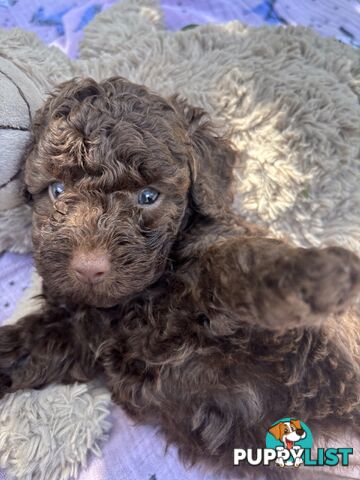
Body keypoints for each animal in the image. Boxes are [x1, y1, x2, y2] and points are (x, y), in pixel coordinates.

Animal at [0, 77, 360, 478]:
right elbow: (32, 342)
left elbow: (231, 259)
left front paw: (315, 274)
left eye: (148, 196)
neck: (144, 296)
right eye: (57, 190)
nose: (88, 267)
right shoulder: (80, 327)